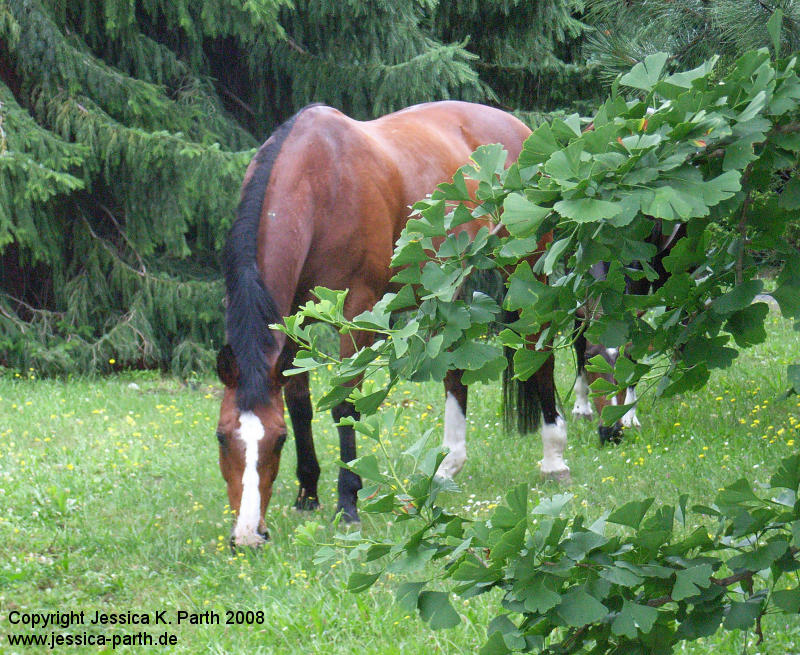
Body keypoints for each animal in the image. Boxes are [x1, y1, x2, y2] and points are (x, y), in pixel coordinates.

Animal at [214, 101, 569, 547]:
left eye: (277, 441)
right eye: (221, 436)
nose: (247, 535)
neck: (319, 179)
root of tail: (520, 128)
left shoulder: (356, 308)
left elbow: (345, 403)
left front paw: (347, 502)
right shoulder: (293, 316)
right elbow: (299, 401)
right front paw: (307, 493)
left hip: (525, 266)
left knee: (539, 352)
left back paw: (554, 458)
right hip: (451, 282)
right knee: (455, 368)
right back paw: (445, 467)